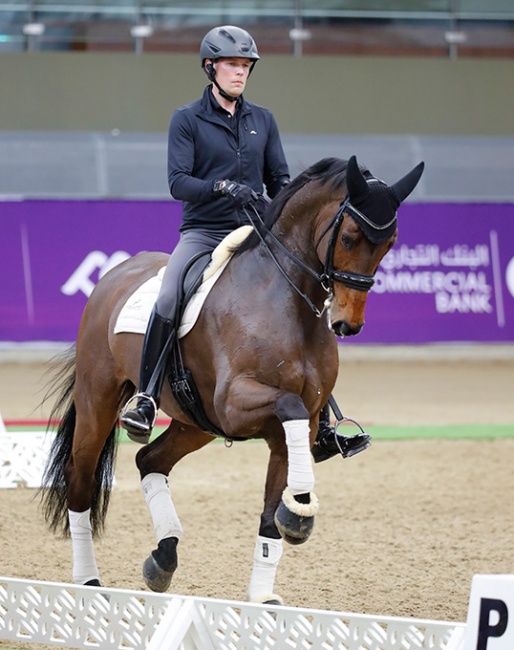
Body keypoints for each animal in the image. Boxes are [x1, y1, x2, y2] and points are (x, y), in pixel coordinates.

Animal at [38, 154, 420, 604]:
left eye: (389, 243)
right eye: (348, 237)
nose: (348, 324)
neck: (287, 304)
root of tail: (115, 274)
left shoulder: (299, 425)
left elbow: (272, 514)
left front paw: (268, 582)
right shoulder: (236, 404)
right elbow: (287, 405)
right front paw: (300, 512)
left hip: (195, 422)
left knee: (150, 460)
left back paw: (163, 558)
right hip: (99, 401)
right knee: (79, 478)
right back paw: (89, 581)